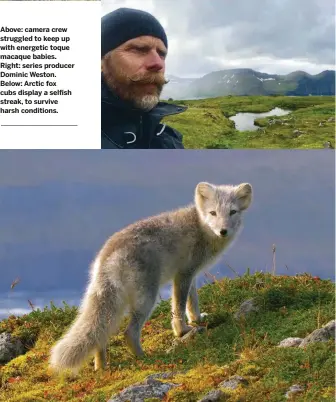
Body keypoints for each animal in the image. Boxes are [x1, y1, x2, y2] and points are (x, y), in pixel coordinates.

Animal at [49, 181, 252, 372]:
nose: (223, 231)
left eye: (233, 212)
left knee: (101, 335)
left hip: (114, 303)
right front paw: (182, 330)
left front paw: (197, 320)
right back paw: (145, 357)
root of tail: (107, 256)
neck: (201, 228)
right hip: (146, 298)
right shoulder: (183, 274)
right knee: (129, 333)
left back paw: (101, 367)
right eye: (213, 213)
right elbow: (178, 307)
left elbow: (192, 302)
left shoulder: (190, 274)